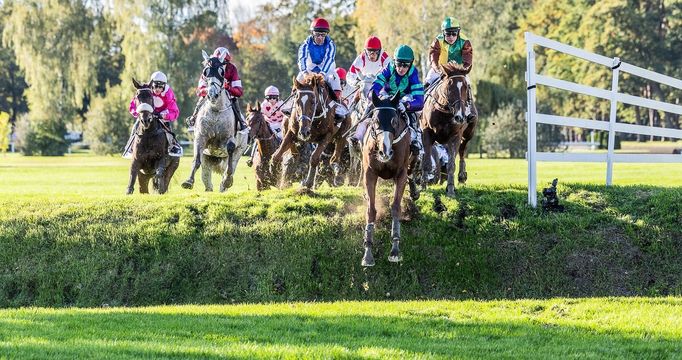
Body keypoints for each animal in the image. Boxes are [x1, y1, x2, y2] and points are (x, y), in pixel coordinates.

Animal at [181, 51, 247, 193]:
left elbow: (230, 149)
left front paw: (227, 180)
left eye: (222, 72)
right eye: (205, 72)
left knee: (231, 166)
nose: (212, 94)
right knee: (207, 180)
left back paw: (226, 182)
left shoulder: (228, 139)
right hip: (208, 158)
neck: (216, 110)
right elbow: (196, 160)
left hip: (240, 150)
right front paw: (189, 181)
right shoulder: (201, 138)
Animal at [358, 93, 418, 268]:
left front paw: (395, 250)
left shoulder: (400, 174)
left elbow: (396, 207)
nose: (385, 152)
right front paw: (368, 253)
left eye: (394, 121)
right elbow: (371, 210)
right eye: (375, 121)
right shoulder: (370, 174)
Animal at [420, 62, 478, 197]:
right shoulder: (427, 133)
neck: (444, 111)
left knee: (462, 152)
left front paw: (451, 190)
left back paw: (462, 177)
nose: (460, 116)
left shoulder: (455, 136)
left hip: (468, 134)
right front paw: (423, 187)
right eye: (449, 86)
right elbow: (427, 162)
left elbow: (451, 164)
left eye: (466, 87)